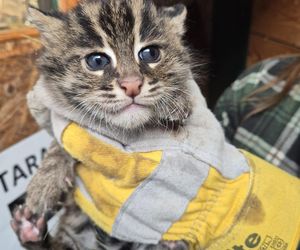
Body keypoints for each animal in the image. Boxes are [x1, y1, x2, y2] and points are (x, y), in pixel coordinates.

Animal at [11, 0, 192, 249]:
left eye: (150, 54)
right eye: (97, 61)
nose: (132, 85)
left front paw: (177, 100)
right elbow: (59, 142)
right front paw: (44, 183)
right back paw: (29, 229)